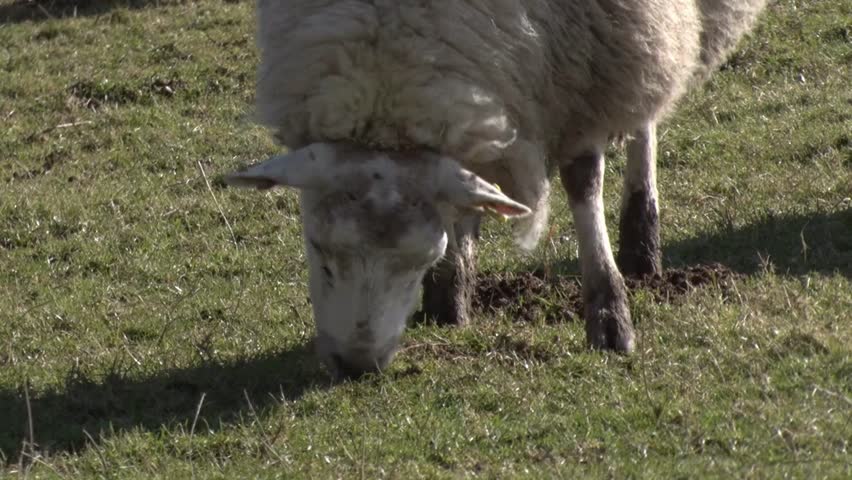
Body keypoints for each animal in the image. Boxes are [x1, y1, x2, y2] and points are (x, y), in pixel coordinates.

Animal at [225, 0, 768, 378]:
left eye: (417, 261)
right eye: (317, 251)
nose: (357, 367)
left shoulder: (589, 64)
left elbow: (584, 180)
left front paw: (610, 314)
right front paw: (451, 293)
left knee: (646, 108)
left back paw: (641, 239)